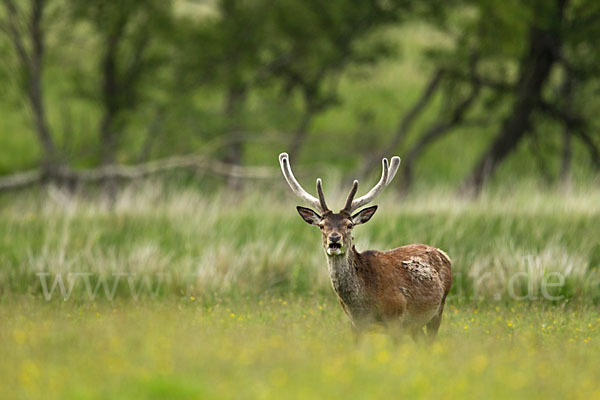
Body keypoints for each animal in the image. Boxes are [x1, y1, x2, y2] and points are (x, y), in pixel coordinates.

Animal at [278, 153, 452, 340]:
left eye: (349, 225)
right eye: (322, 225)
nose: (334, 239)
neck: (363, 303)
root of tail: (443, 253)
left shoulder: (396, 317)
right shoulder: (355, 324)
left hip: (438, 309)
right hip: (415, 325)